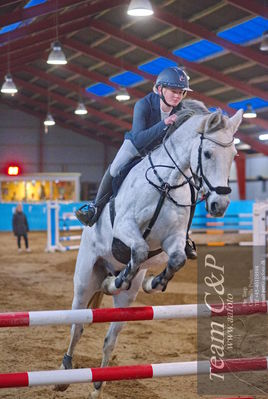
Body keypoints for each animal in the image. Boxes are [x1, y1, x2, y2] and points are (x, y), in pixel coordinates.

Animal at [55, 100, 243, 396]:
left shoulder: (173, 239)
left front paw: (154, 283)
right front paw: (116, 281)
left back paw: (97, 385)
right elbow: (140, 250)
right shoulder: (124, 228)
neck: (167, 181)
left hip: (126, 300)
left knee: (109, 338)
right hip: (85, 278)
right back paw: (64, 373)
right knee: (78, 324)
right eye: (208, 153)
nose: (219, 206)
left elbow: (176, 259)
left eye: (234, 155)